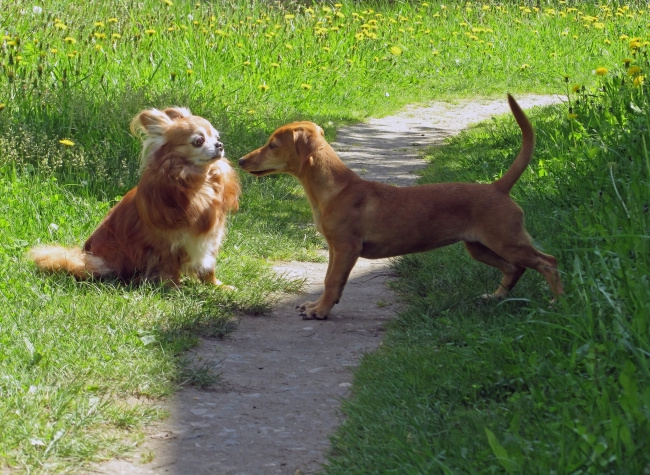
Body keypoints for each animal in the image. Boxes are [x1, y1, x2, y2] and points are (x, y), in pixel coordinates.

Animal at [28, 107, 240, 286]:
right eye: (199, 141)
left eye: (217, 137)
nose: (220, 145)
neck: (200, 184)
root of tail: (88, 255)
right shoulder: (165, 244)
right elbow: (169, 268)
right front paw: (174, 288)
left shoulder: (210, 238)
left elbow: (208, 266)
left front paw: (217, 286)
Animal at [239, 96, 560, 320]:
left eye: (272, 145)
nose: (241, 160)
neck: (334, 189)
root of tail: (497, 187)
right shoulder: (335, 248)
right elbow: (332, 280)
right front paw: (317, 306)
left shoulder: (346, 246)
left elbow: (331, 281)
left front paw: (320, 311)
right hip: (479, 246)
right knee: (515, 268)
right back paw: (495, 297)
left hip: (506, 239)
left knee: (548, 262)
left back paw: (557, 301)